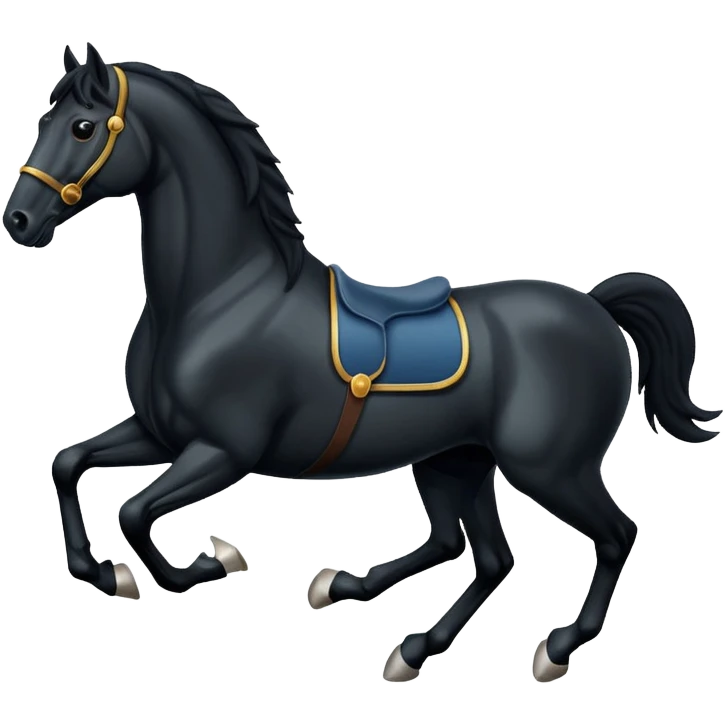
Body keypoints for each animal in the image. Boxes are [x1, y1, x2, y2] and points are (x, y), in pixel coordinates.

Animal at [3, 43, 721, 685]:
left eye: (82, 127)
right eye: (42, 122)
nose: (20, 220)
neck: (221, 296)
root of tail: (595, 305)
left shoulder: (222, 451)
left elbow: (134, 511)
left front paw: (210, 562)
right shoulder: (159, 433)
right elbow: (68, 462)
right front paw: (105, 572)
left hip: (548, 467)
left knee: (612, 534)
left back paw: (554, 648)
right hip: (455, 460)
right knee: (482, 554)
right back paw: (391, 631)